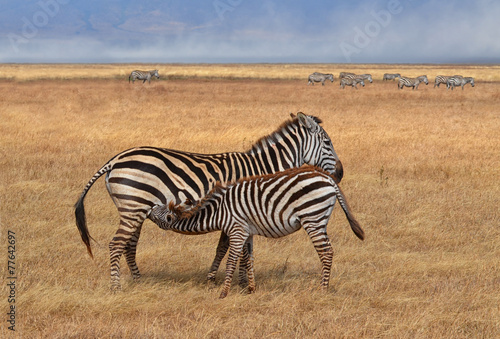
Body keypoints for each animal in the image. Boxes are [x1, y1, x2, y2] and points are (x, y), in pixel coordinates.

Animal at [74, 113, 346, 290]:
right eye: (328, 143)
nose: (340, 174)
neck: (261, 168)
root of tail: (115, 159)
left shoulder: (236, 211)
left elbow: (224, 247)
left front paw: (219, 279)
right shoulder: (242, 208)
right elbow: (236, 248)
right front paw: (237, 282)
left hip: (135, 209)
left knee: (129, 244)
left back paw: (138, 280)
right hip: (133, 207)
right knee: (116, 244)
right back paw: (116, 286)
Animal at [146, 166, 366, 298]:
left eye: (155, 212)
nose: (148, 206)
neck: (218, 212)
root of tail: (326, 176)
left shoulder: (236, 230)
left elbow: (231, 260)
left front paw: (223, 293)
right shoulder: (247, 231)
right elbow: (248, 258)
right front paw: (251, 288)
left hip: (312, 217)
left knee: (326, 252)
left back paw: (323, 289)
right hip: (320, 219)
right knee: (328, 251)